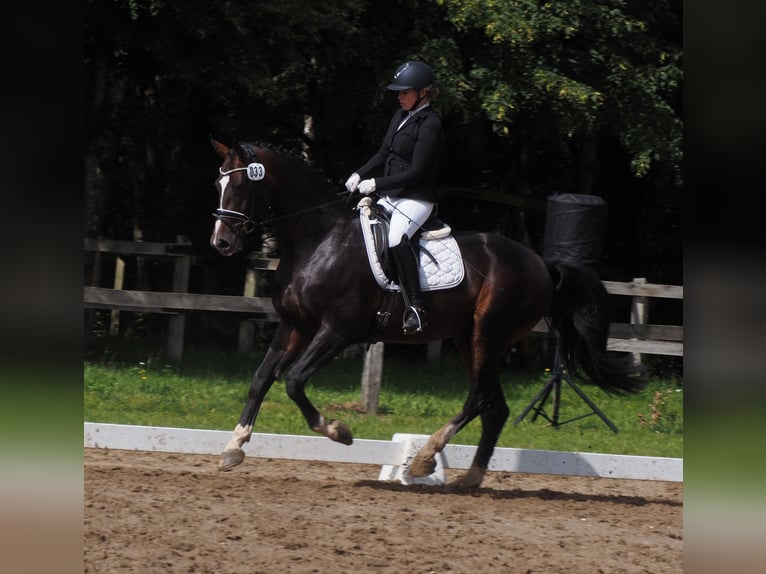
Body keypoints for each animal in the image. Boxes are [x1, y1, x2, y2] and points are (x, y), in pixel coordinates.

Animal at [208, 138, 646, 488]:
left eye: (242, 185)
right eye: (218, 184)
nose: (221, 243)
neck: (316, 241)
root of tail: (542, 263)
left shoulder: (338, 331)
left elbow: (294, 381)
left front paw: (338, 431)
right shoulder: (295, 327)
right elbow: (261, 379)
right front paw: (233, 447)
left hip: (489, 334)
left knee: (480, 397)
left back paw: (423, 459)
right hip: (467, 337)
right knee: (495, 405)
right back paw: (469, 478)